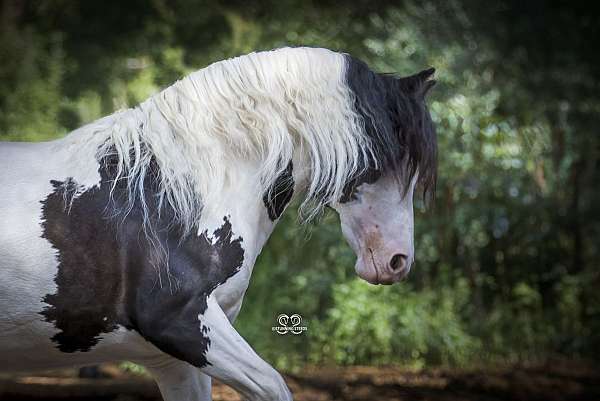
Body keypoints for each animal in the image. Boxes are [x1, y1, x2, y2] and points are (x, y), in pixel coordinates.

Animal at [0, 45, 436, 398]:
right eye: (390, 155)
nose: (397, 261)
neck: (172, 194)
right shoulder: (182, 324)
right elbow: (275, 387)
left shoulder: (175, 362)